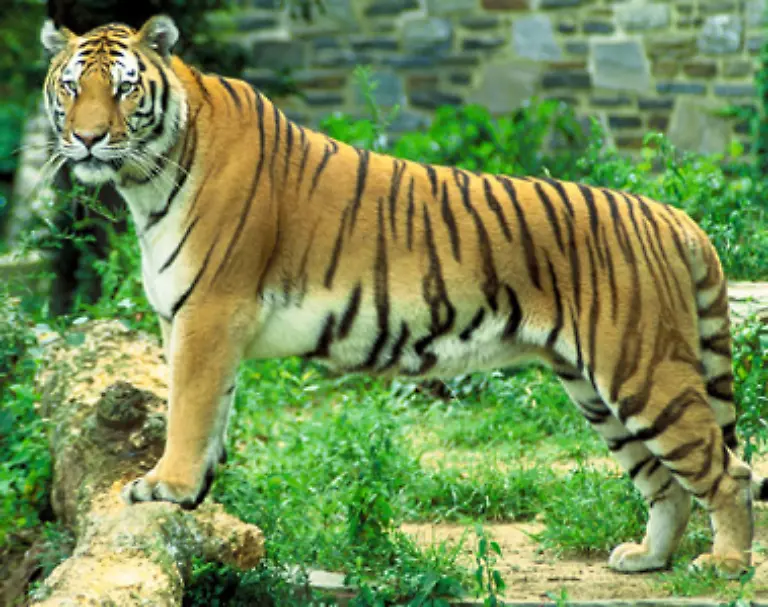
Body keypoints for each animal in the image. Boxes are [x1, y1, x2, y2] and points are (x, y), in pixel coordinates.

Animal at [40, 14, 765, 577]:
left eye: (124, 88)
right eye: (72, 87)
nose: (87, 138)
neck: (148, 178)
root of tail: (672, 216)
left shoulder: (209, 312)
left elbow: (188, 409)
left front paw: (167, 485)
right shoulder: (191, 321)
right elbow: (209, 411)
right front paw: (196, 494)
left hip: (643, 370)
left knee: (728, 471)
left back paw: (725, 564)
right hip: (596, 389)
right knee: (666, 483)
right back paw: (647, 558)